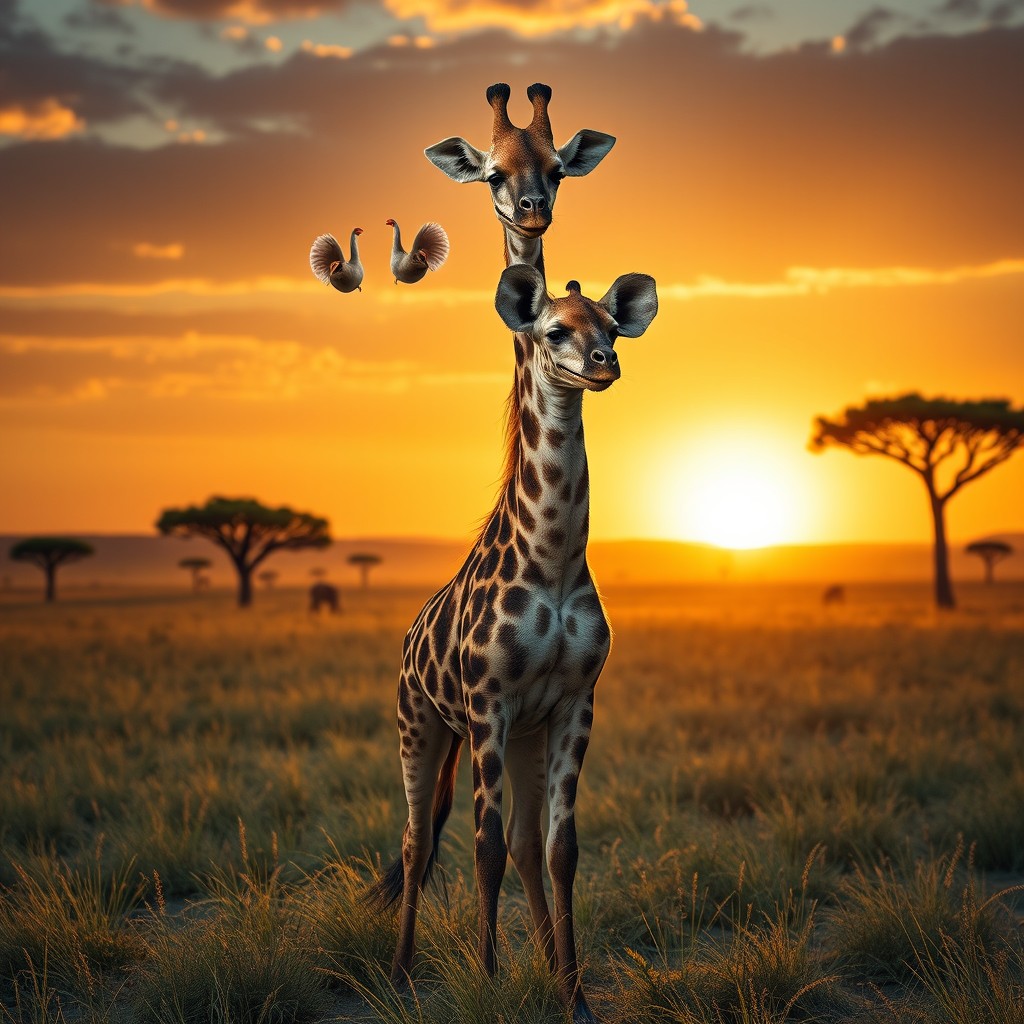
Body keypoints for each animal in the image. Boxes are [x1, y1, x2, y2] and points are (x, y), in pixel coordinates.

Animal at [369, 258, 659, 1022]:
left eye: (611, 324)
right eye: (555, 329)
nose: (604, 362)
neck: (552, 560)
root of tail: (409, 636)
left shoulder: (574, 704)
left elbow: (559, 850)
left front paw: (573, 994)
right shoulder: (488, 704)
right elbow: (484, 849)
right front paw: (489, 981)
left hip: (522, 733)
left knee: (526, 844)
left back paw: (549, 970)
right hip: (422, 724)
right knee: (416, 839)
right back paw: (401, 973)